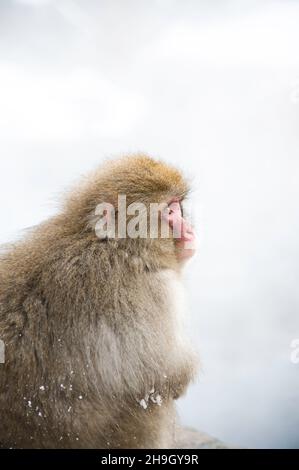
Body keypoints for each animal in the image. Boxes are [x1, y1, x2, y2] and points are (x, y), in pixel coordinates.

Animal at [0, 154, 199, 448]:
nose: (190, 231)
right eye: (170, 212)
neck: (117, 245)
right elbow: (167, 373)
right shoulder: (156, 293)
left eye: (179, 207)